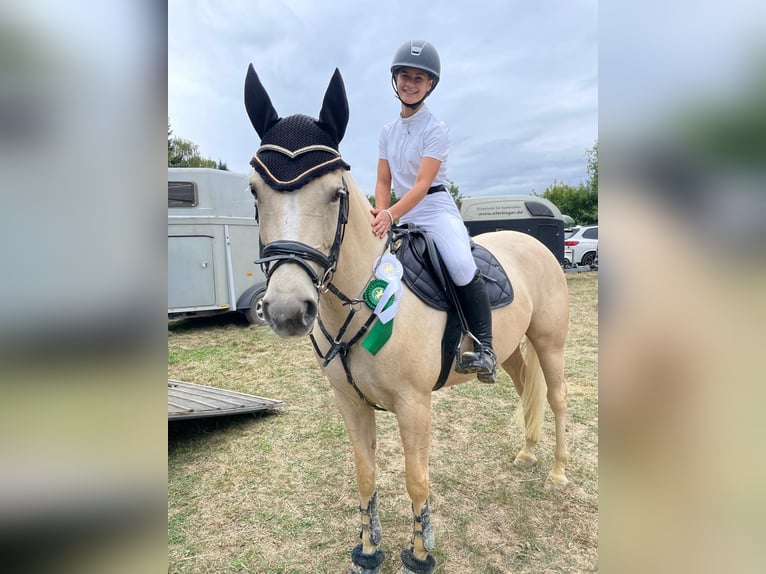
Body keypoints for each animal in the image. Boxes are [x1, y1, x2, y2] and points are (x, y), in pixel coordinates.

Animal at [243, 64, 570, 574]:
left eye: (336, 194)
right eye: (255, 192)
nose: (286, 309)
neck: (363, 297)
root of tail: (533, 242)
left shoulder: (415, 405)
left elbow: (417, 480)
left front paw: (419, 553)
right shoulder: (350, 403)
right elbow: (365, 474)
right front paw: (368, 550)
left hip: (550, 342)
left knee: (556, 398)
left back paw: (556, 472)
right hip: (512, 349)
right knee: (526, 390)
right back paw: (526, 453)